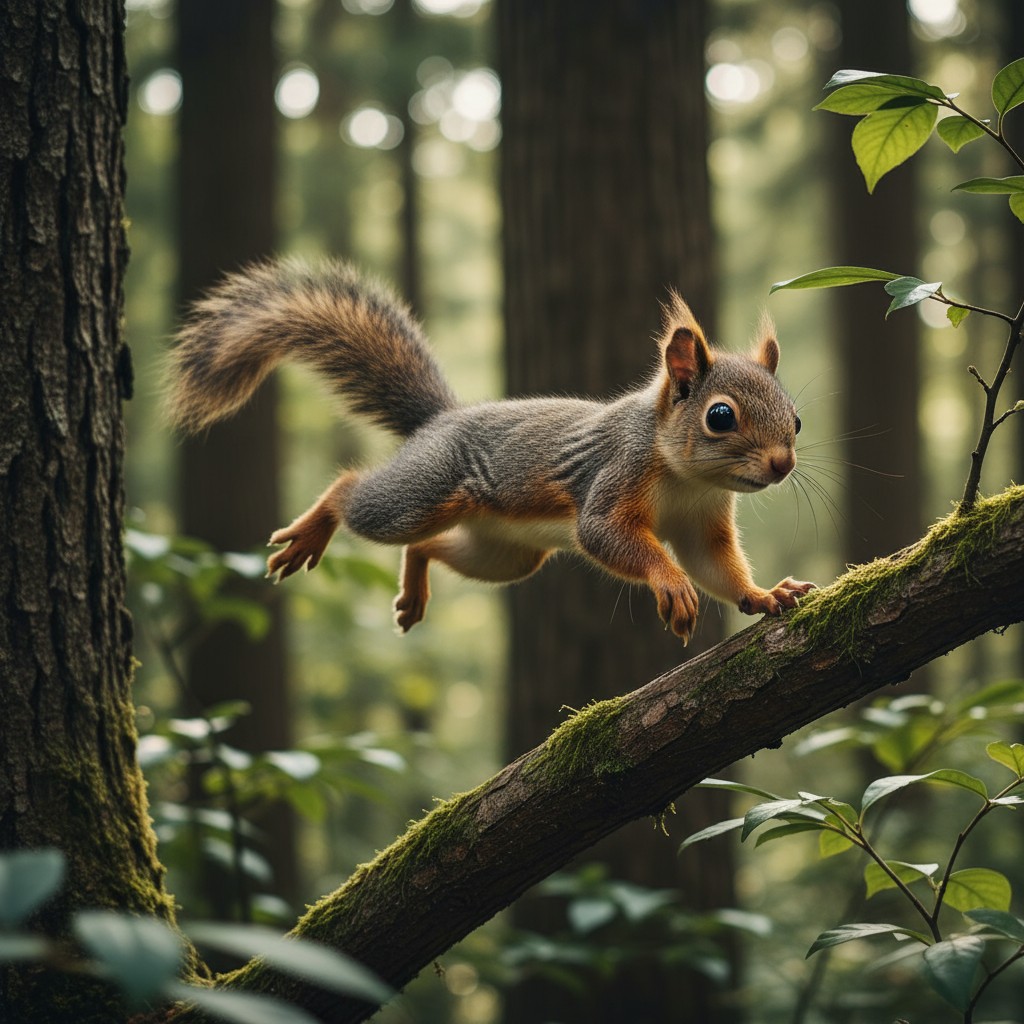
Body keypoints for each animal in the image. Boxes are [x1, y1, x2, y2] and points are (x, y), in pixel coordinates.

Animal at [165, 258, 814, 643]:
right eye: (720, 416)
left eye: (797, 420)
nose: (783, 464)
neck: (686, 478)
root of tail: (440, 420)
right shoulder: (615, 475)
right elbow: (605, 534)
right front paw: (671, 584)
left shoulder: (704, 521)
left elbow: (714, 566)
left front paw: (764, 595)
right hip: (421, 495)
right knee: (359, 495)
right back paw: (315, 527)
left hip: (506, 554)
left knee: (429, 547)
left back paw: (414, 587)